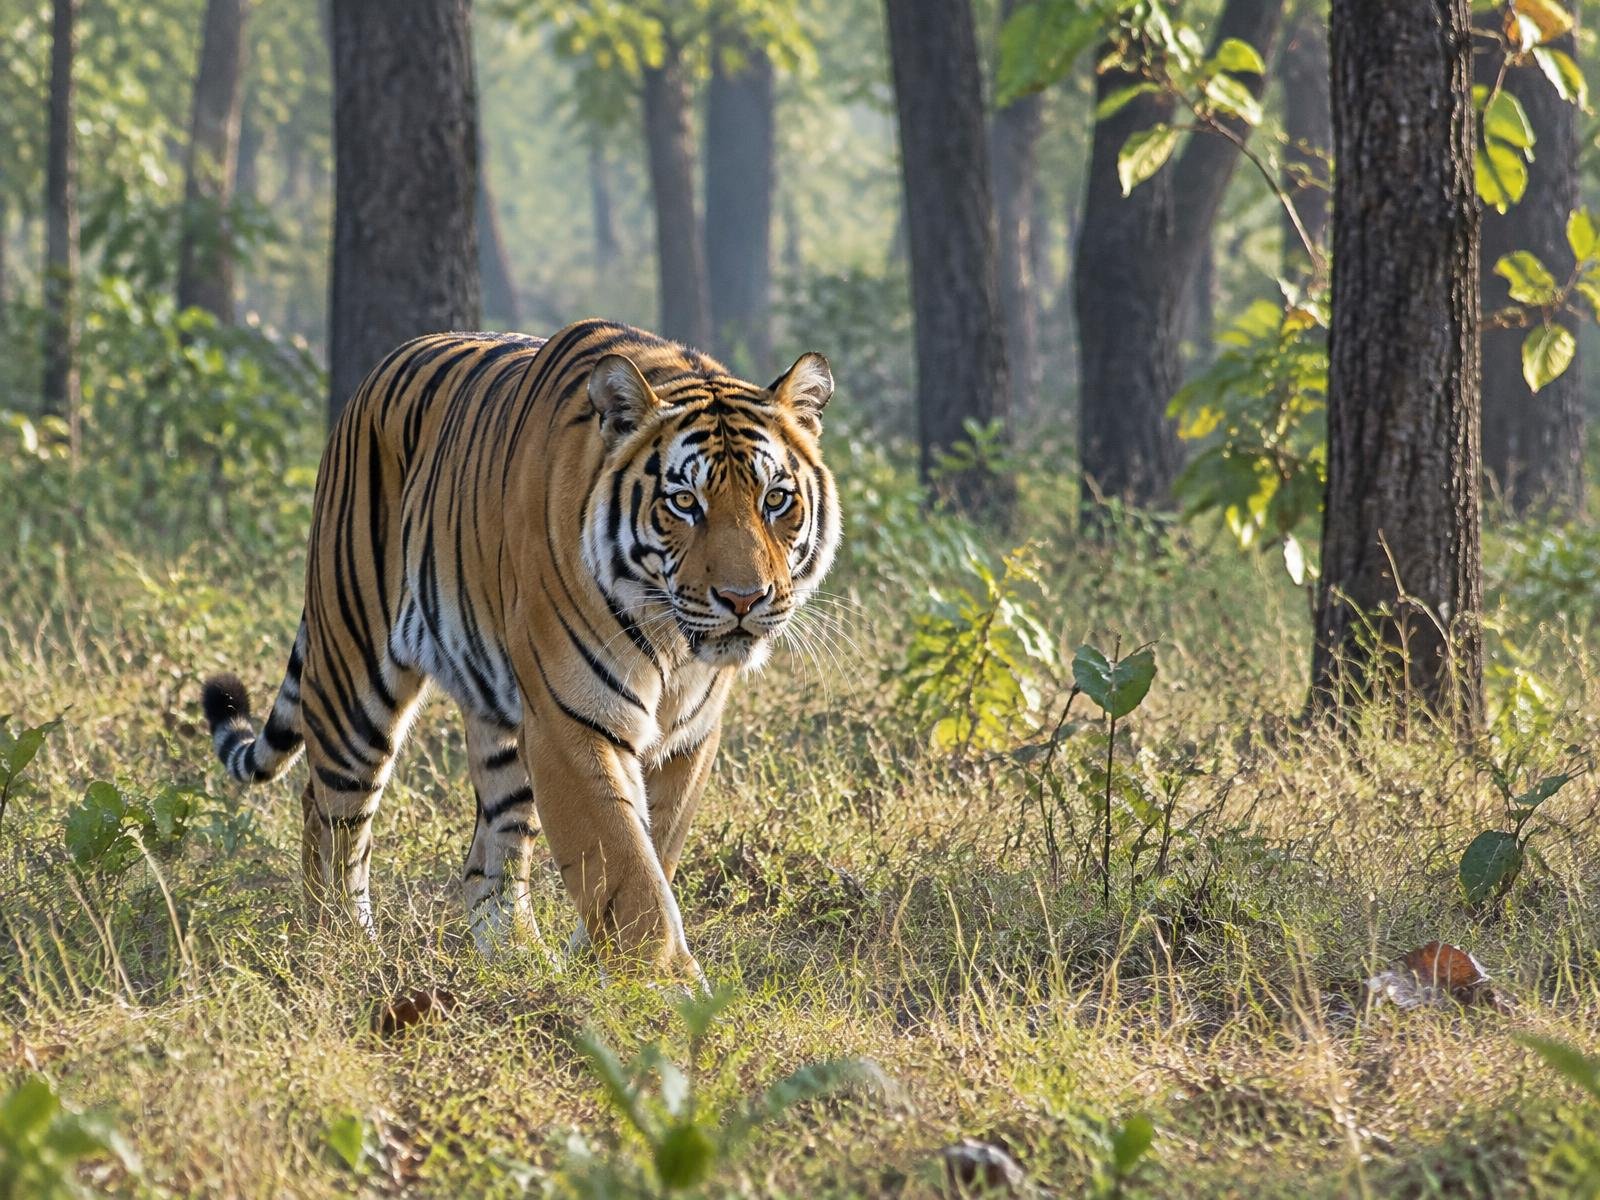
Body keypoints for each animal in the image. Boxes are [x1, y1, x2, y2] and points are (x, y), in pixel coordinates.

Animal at [200, 319, 839, 982]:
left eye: (775, 500)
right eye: (684, 502)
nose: (744, 599)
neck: (672, 644)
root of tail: (373, 377)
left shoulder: (686, 736)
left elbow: (648, 854)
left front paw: (601, 965)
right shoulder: (571, 722)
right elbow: (626, 865)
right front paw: (668, 990)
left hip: (502, 720)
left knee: (488, 854)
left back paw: (518, 961)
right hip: (354, 679)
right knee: (329, 811)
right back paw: (340, 946)